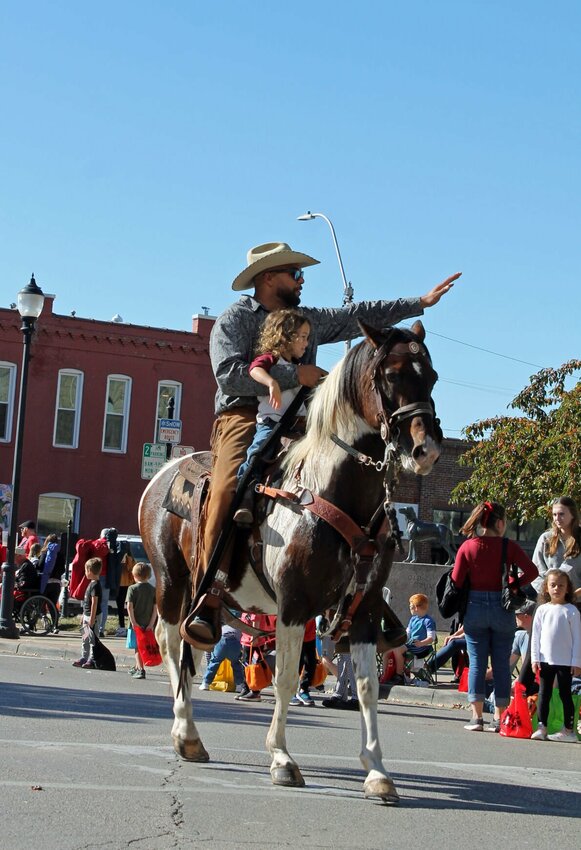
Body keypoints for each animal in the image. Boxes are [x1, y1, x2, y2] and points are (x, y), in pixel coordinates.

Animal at [138, 318, 442, 800]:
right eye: (392, 375)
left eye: (431, 377)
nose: (425, 450)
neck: (333, 491)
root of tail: (167, 471)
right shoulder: (295, 605)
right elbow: (283, 677)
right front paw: (281, 758)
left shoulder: (363, 612)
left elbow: (367, 686)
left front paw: (377, 771)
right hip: (172, 578)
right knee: (171, 642)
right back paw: (186, 733)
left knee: (190, 646)